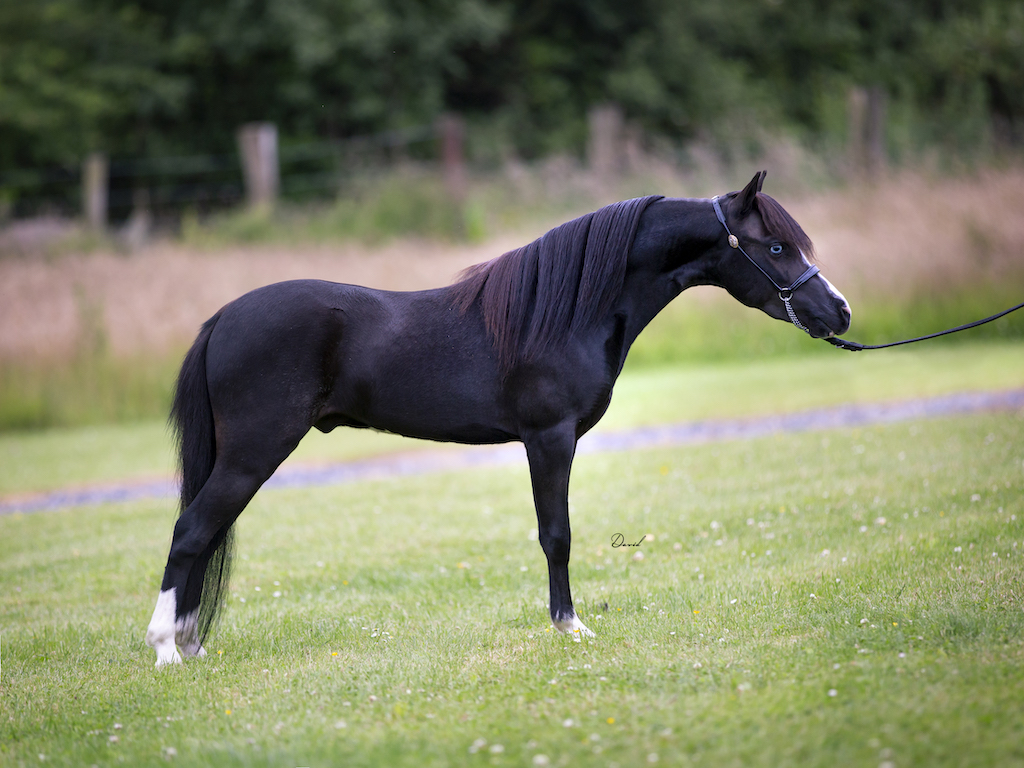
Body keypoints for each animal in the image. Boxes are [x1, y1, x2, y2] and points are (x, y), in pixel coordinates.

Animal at [145, 171, 851, 667]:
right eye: (776, 245)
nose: (839, 312)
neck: (566, 311)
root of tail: (223, 319)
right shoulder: (549, 439)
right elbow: (556, 535)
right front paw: (570, 627)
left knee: (207, 533)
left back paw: (190, 643)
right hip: (252, 453)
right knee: (191, 531)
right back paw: (166, 651)